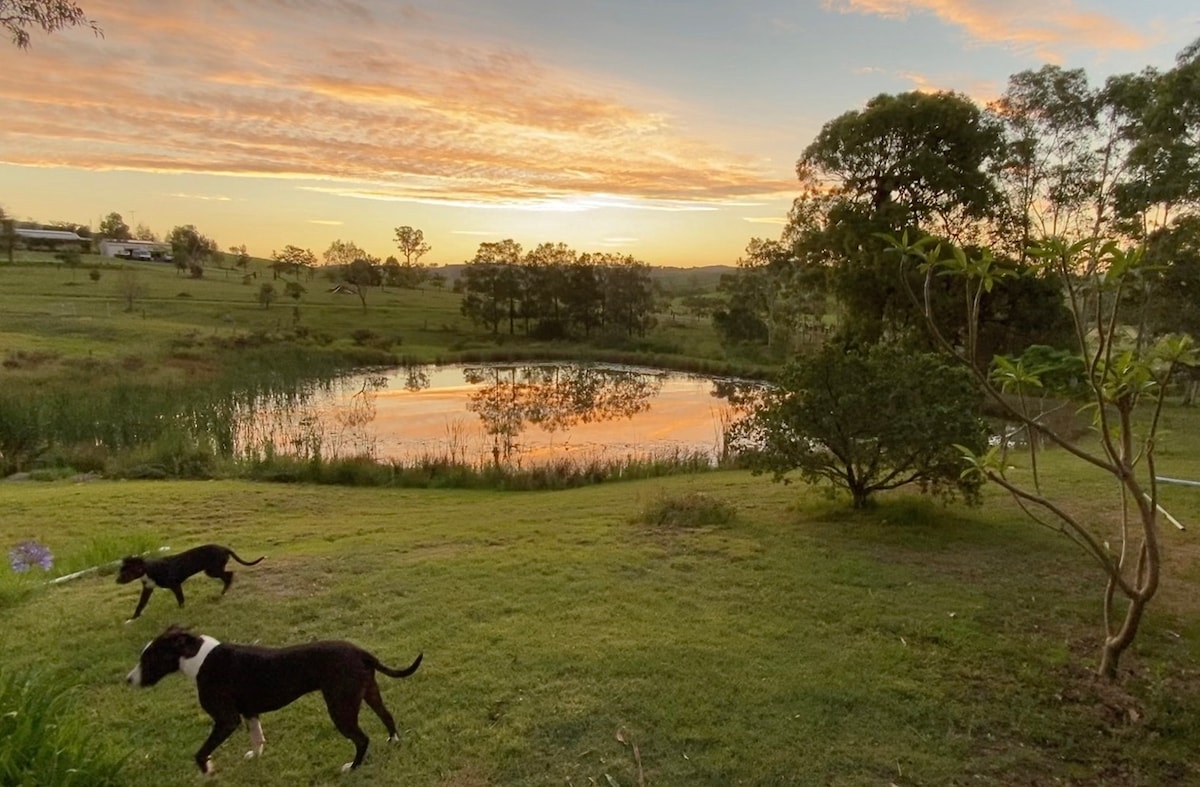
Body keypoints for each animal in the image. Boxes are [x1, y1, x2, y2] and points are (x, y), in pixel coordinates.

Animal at [115, 542, 265, 619]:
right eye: (121, 569)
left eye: (126, 571)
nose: (117, 580)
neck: (148, 570)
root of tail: (224, 548)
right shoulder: (148, 589)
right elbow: (140, 605)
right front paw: (132, 619)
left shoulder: (175, 585)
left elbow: (180, 599)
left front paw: (181, 611)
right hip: (212, 570)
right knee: (228, 575)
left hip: (213, 570)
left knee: (229, 575)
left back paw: (223, 592)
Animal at [124, 628, 424, 772]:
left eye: (148, 659)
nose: (128, 680)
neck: (199, 657)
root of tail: (360, 651)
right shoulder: (248, 713)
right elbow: (257, 738)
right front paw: (255, 756)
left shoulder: (226, 720)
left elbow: (201, 751)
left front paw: (207, 770)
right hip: (368, 694)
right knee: (387, 716)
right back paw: (393, 741)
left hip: (340, 708)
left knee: (362, 739)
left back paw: (352, 767)